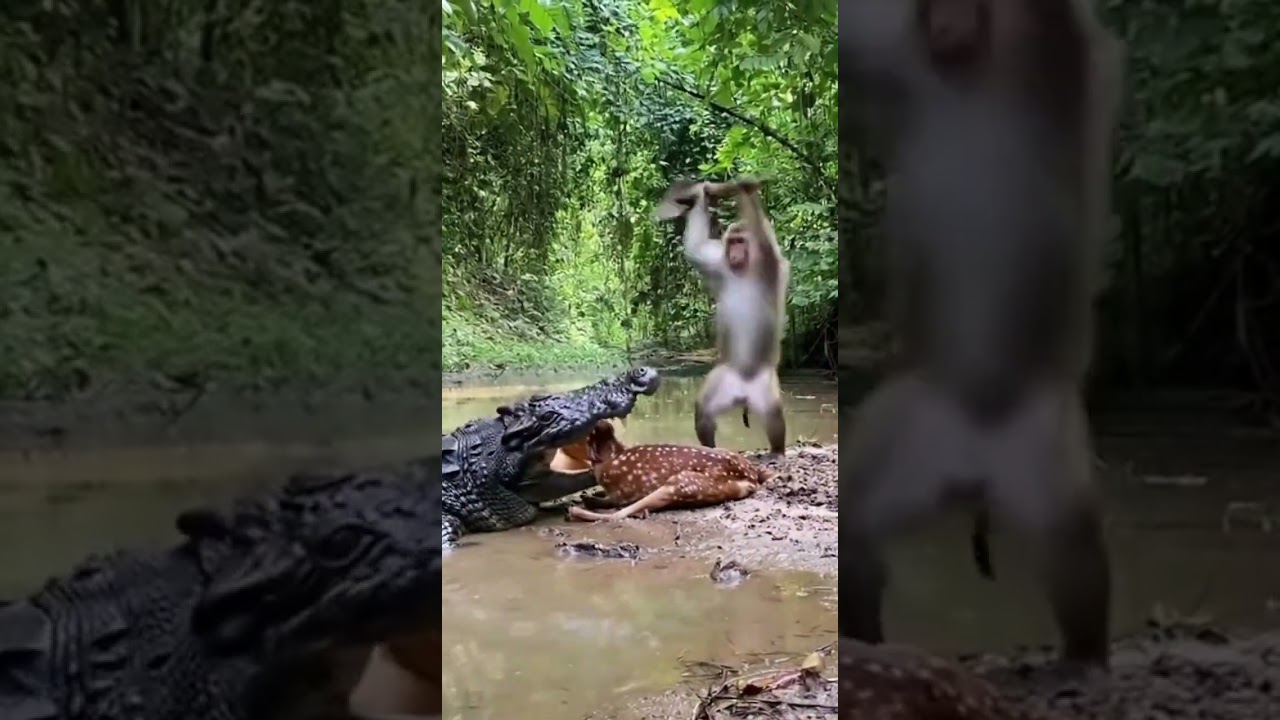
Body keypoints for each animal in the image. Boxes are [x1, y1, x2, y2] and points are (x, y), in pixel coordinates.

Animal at [654, 179, 791, 455]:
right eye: (732, 242)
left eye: (741, 242)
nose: (735, 252)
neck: (745, 269)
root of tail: (743, 393)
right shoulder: (718, 264)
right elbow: (695, 249)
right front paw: (701, 193)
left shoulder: (768, 263)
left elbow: (764, 239)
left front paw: (745, 188)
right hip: (723, 379)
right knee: (703, 411)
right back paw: (710, 447)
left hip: (764, 383)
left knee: (773, 414)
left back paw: (777, 451)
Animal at [838, 0, 1124, 673]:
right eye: (932, 6)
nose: (946, 22)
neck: (970, 69)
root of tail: (973, 468)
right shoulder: (897, 58)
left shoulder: (1048, 58)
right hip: (914, 424)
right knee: (855, 531)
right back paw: (863, 640)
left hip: (1041, 430)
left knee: (1072, 540)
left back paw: (1085, 656)